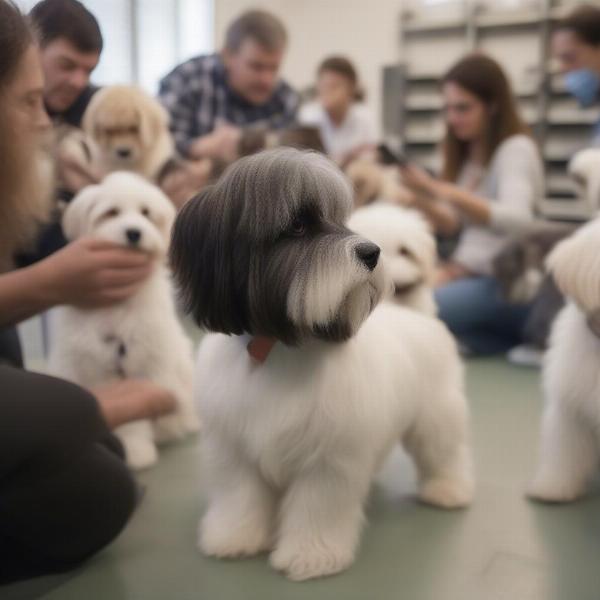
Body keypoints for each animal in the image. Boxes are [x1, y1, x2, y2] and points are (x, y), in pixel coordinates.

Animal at [48, 171, 199, 466]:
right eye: (112, 212)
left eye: (145, 213)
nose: (134, 233)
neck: (118, 306)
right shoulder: (95, 366)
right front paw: (134, 450)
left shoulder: (150, 364)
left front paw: (147, 442)